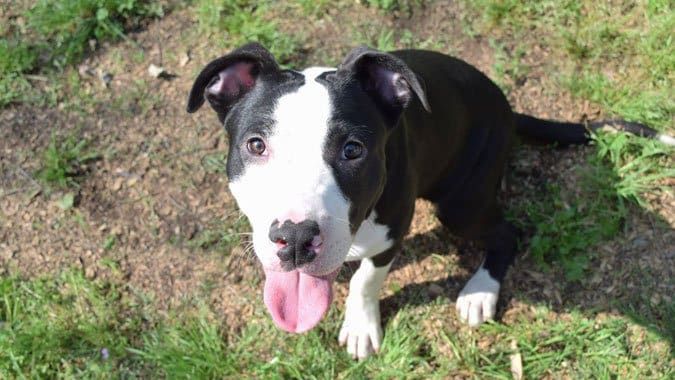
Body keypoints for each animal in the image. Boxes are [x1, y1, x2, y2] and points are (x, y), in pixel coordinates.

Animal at [186, 42, 675, 360]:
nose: (296, 239)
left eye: (353, 150)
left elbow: (365, 280)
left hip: (461, 205)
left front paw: (361, 326)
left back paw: (480, 291)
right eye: (255, 145)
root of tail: (507, 108)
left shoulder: (393, 229)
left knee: (507, 233)